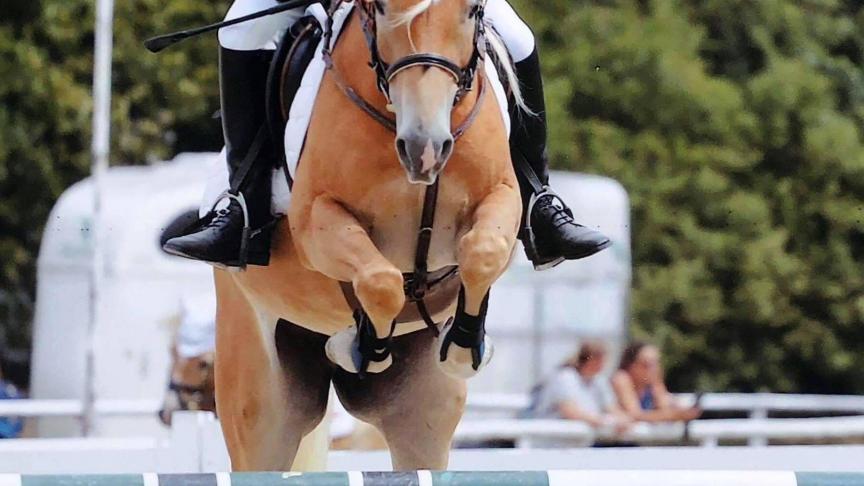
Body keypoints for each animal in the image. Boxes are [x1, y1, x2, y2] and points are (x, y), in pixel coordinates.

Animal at [215, 0, 524, 470]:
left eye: (472, 11)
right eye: (379, 9)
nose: (424, 150)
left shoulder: (503, 198)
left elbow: (482, 253)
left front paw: (463, 344)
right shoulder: (316, 221)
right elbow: (381, 281)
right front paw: (362, 348)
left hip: (421, 412)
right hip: (259, 401)